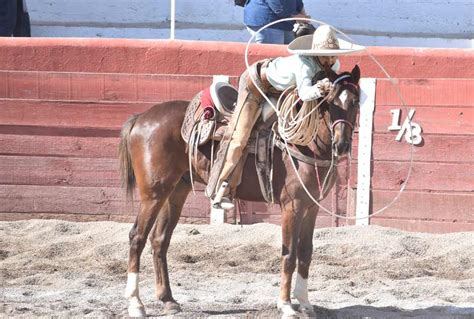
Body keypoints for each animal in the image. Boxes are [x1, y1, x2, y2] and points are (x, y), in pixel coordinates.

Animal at [120, 65, 362, 318]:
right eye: (330, 102)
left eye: (355, 101)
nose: (342, 145)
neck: (306, 146)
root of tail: (141, 118)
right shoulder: (292, 207)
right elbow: (289, 254)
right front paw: (286, 305)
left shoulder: (311, 206)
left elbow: (305, 252)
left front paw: (305, 303)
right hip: (153, 193)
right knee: (137, 237)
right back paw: (135, 303)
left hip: (176, 191)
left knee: (159, 239)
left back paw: (168, 299)